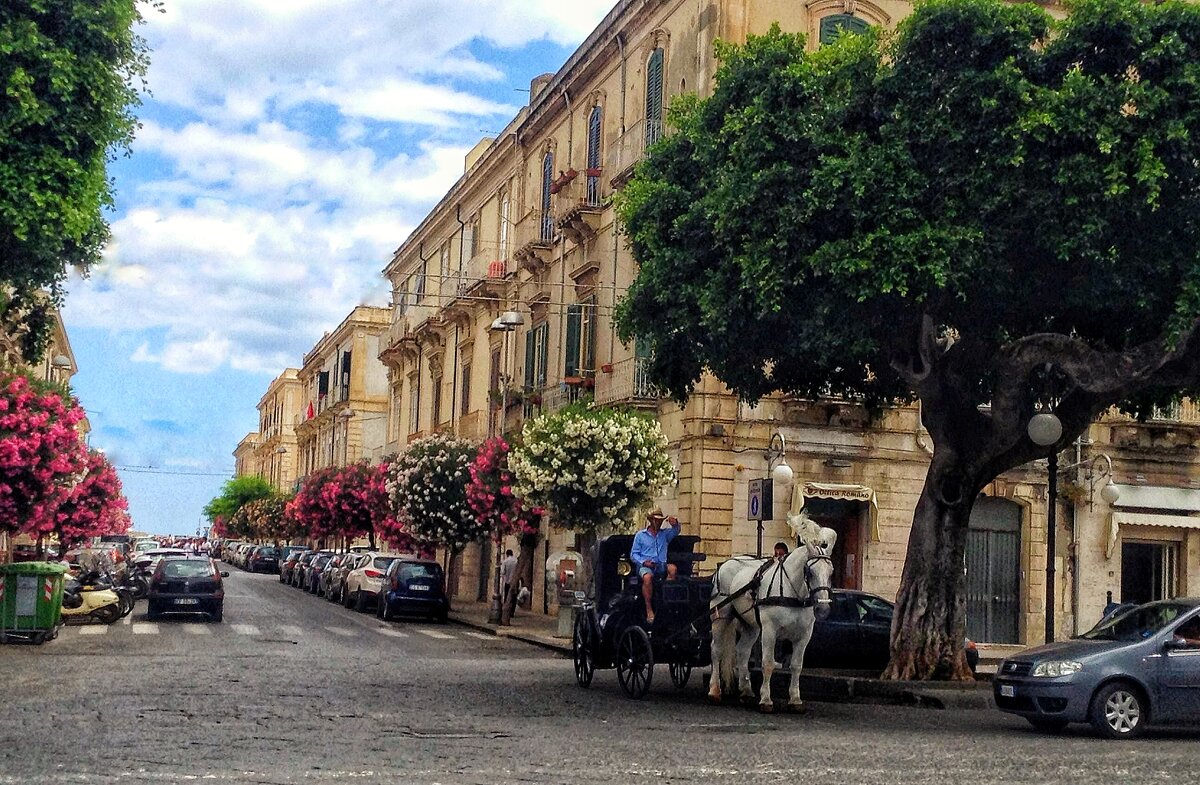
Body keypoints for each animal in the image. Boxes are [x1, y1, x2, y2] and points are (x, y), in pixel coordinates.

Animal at [700, 513, 835, 715]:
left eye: (831, 572)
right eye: (810, 571)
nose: (823, 609)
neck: (792, 592)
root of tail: (728, 562)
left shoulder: (804, 635)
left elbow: (796, 666)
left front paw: (795, 700)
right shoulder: (770, 631)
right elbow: (768, 663)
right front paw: (765, 699)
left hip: (751, 625)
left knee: (743, 652)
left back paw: (746, 691)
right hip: (721, 615)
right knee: (716, 649)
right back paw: (714, 690)